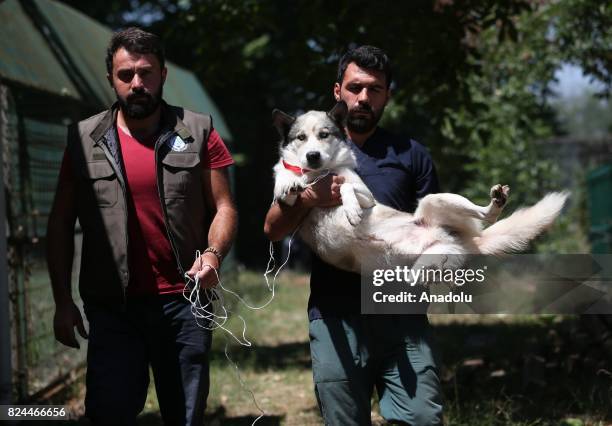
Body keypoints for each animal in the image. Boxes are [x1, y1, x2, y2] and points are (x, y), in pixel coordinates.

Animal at [272, 101, 568, 272]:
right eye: (301, 138)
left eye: (324, 135)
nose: (313, 156)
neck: (318, 174)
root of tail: (465, 241)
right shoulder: (288, 206)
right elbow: (287, 187)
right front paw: (290, 183)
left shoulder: (366, 194)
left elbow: (346, 187)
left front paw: (352, 211)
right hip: (423, 262)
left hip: (434, 200)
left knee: (486, 216)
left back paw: (495, 203)